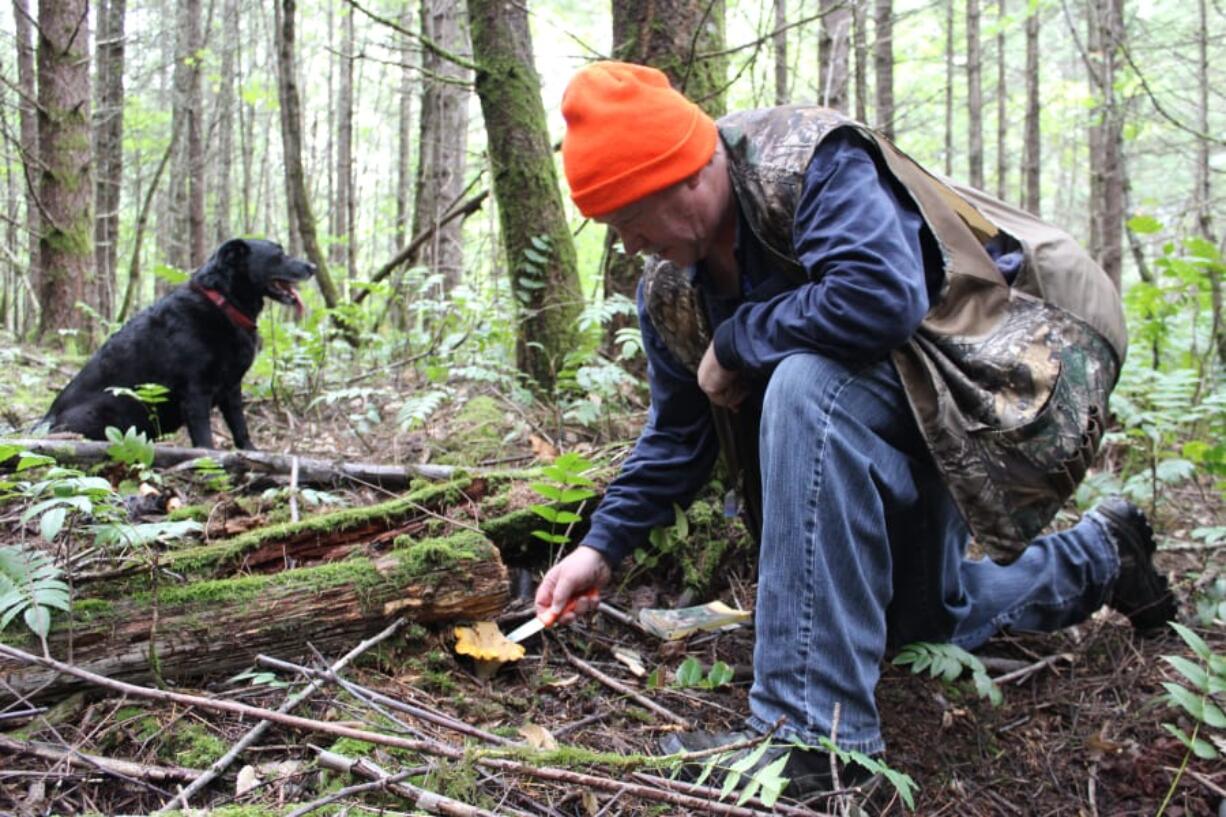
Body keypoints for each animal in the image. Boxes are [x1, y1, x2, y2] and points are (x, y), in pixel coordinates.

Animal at [44, 239, 316, 448]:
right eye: (279, 255)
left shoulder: (232, 389)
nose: (312, 266)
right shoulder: (195, 391)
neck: (223, 303)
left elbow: (241, 429)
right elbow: (205, 440)